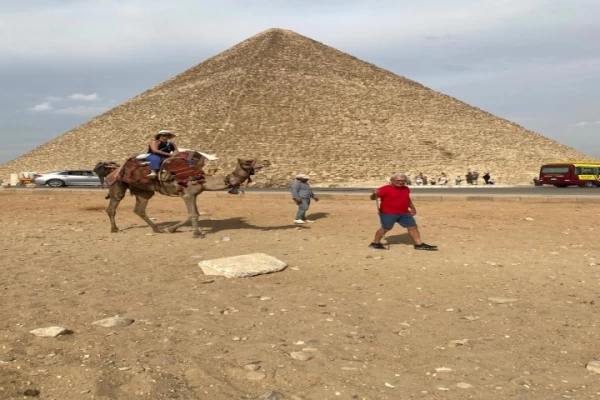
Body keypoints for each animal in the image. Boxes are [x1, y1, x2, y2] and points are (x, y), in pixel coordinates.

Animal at [105, 155, 270, 238]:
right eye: (248, 161)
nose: (267, 161)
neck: (202, 179)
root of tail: (115, 169)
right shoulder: (187, 194)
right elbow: (193, 214)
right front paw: (197, 234)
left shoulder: (193, 194)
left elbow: (193, 214)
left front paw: (171, 229)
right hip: (117, 184)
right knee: (113, 205)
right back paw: (114, 229)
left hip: (144, 191)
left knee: (139, 209)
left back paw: (157, 229)